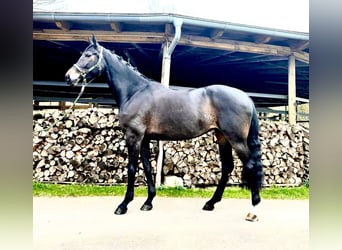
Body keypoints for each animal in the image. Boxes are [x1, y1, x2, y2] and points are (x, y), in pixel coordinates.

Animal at [65, 35, 264, 221]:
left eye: (89, 55)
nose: (68, 77)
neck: (135, 92)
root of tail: (245, 97)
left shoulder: (133, 136)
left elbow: (132, 168)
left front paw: (123, 205)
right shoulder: (144, 138)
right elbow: (147, 168)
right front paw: (148, 202)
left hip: (236, 139)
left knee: (250, 165)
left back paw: (253, 210)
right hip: (222, 137)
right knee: (227, 167)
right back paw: (211, 203)